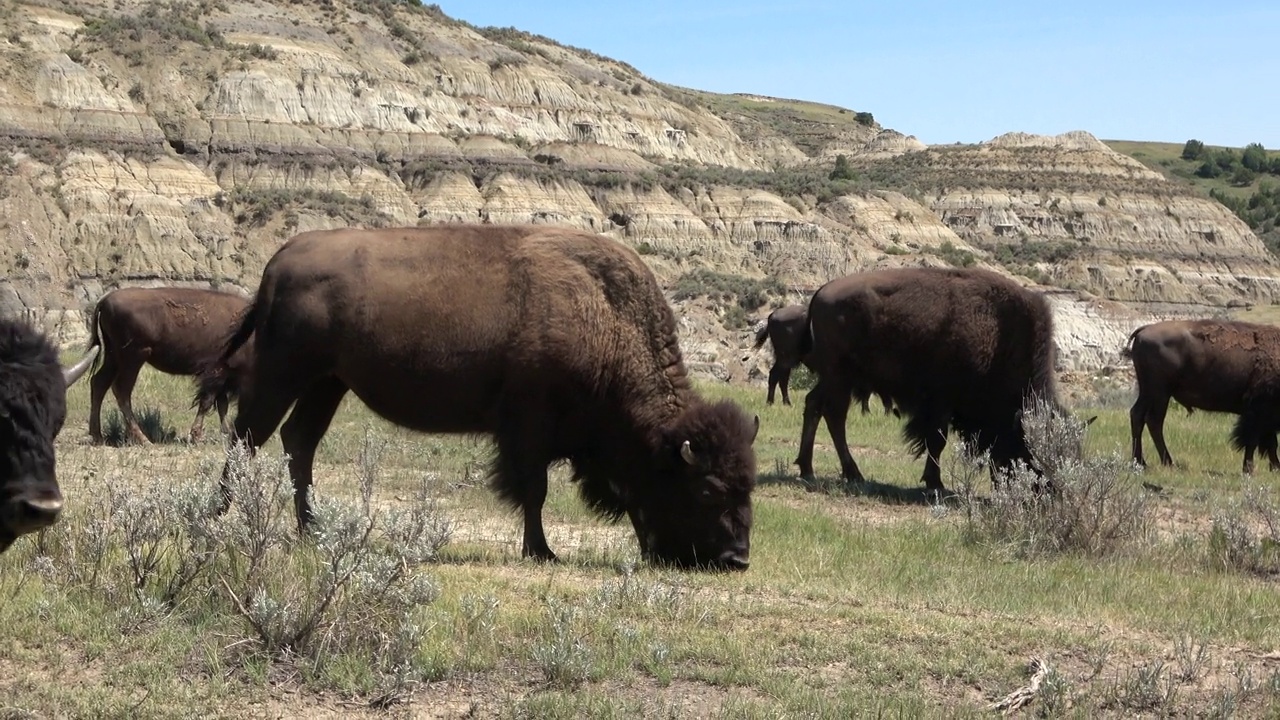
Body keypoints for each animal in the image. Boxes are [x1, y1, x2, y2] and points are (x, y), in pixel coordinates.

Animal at [85, 285, 252, 443]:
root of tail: (104, 301)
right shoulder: (216, 373)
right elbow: (207, 402)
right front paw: (197, 435)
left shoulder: (222, 377)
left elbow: (221, 404)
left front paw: (227, 432)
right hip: (133, 358)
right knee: (122, 390)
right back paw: (143, 439)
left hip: (113, 356)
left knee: (99, 383)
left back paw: (98, 436)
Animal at [203, 221, 752, 568]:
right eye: (706, 490)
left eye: (746, 485)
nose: (737, 558)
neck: (603, 317)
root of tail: (279, 260)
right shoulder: (528, 427)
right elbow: (534, 490)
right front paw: (541, 552)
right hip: (283, 374)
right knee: (247, 437)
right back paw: (216, 515)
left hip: (327, 383)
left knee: (298, 441)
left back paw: (311, 530)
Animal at [793, 266, 1064, 489]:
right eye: (1029, 449)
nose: (1047, 490)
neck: (999, 336)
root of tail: (821, 292)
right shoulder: (941, 402)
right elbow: (937, 440)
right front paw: (935, 484)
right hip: (839, 377)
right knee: (835, 415)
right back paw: (852, 473)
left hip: (835, 379)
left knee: (814, 404)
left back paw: (808, 469)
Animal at [1126, 319, 1280, 471]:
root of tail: (1144, 329)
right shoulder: (1257, 413)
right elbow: (1253, 441)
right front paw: (1249, 469)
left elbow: (1270, 443)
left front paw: (1275, 468)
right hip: (1160, 393)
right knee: (1154, 421)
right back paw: (1168, 463)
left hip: (1148, 392)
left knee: (1137, 415)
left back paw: (1140, 462)